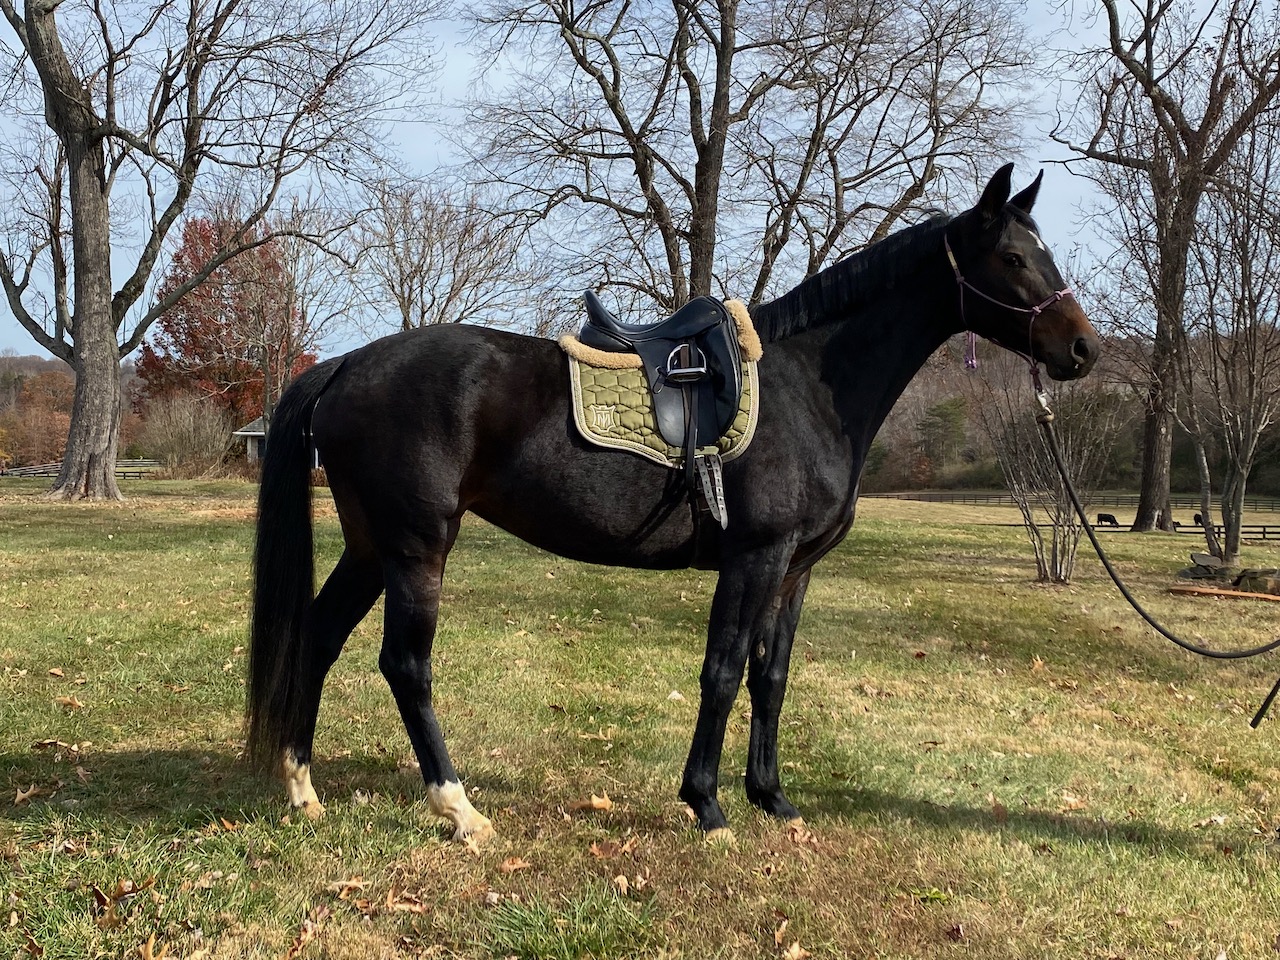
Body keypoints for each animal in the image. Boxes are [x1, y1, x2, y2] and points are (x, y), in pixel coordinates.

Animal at [247, 165, 1100, 839]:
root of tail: (348, 363)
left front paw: (772, 798)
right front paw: (707, 805)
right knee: (406, 665)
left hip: (371, 547)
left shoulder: (795, 571)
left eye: (1044, 251)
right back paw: (459, 809)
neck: (807, 387)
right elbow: (722, 671)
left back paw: (302, 789)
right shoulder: (755, 558)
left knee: (318, 638)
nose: (1083, 349)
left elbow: (770, 678)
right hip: (417, 547)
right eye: (1014, 257)